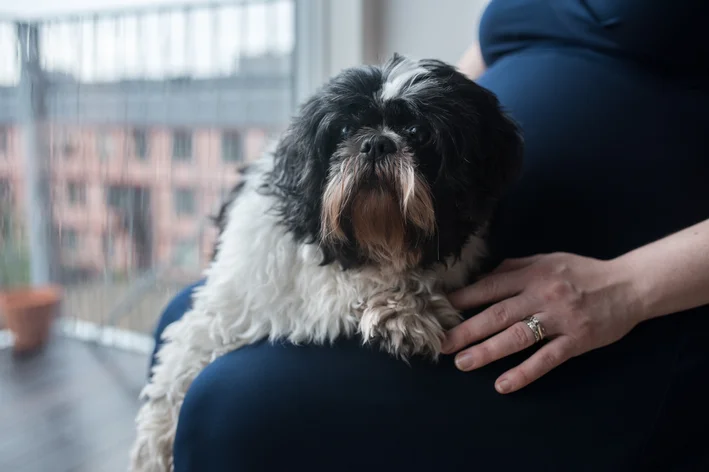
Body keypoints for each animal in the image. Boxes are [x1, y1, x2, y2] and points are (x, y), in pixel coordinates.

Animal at [130, 53, 524, 470]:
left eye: (418, 131)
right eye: (346, 128)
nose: (376, 143)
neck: (366, 248)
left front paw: (402, 311)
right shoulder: (227, 310)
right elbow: (175, 376)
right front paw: (153, 450)